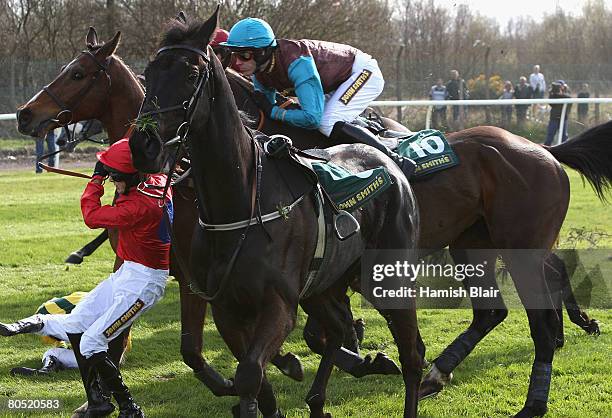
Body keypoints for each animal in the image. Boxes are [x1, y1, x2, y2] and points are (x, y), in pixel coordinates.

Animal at [128, 8, 424, 416]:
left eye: (191, 74)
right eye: (148, 73)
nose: (144, 145)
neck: (239, 204)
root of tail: (392, 165)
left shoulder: (279, 306)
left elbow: (251, 373)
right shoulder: (225, 308)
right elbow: (253, 381)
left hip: (388, 279)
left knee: (412, 355)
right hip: (323, 285)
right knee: (339, 328)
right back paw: (319, 398)